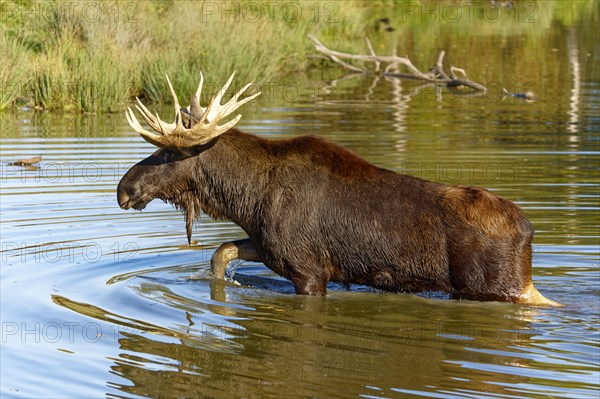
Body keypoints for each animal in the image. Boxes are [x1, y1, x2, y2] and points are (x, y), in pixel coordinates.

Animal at [118, 72, 564, 308]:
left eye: (166, 152)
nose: (124, 189)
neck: (245, 199)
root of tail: (529, 232)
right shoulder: (270, 248)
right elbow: (220, 252)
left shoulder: (309, 271)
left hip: (498, 288)